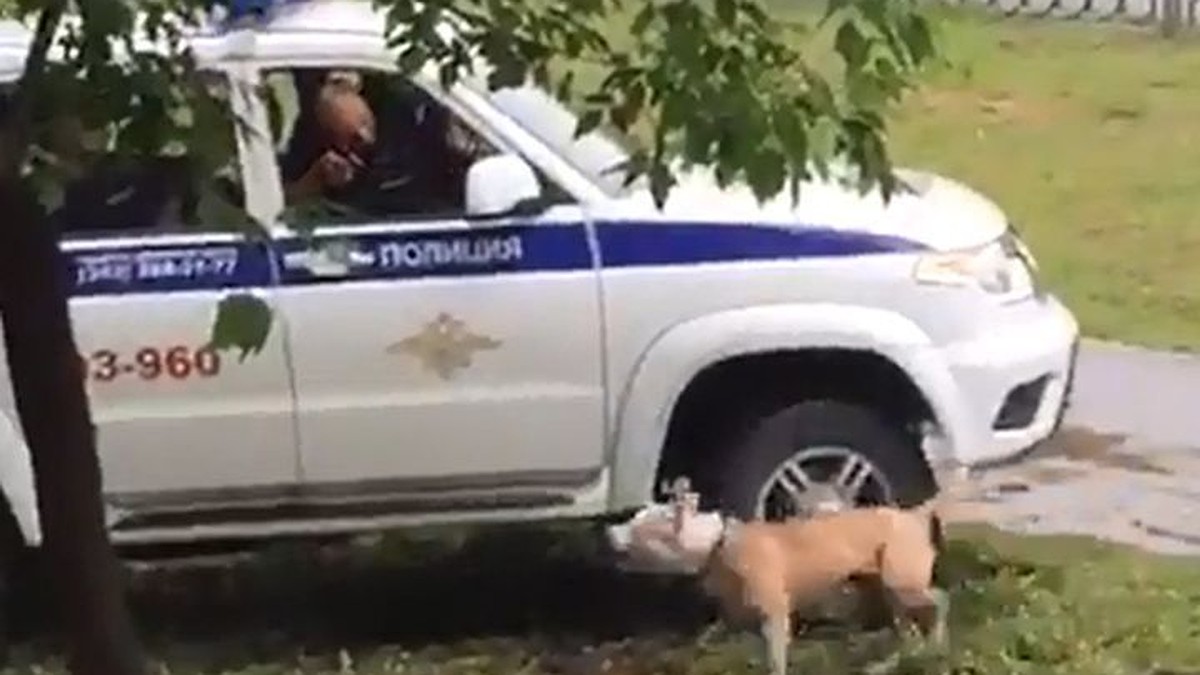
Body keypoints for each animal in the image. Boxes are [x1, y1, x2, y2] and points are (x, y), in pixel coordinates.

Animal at [604, 478, 950, 672]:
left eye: (640, 527)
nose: (608, 530)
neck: (718, 542)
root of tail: (913, 515)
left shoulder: (775, 617)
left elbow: (775, 661)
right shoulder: (740, 620)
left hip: (903, 583)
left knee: (939, 601)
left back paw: (934, 648)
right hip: (885, 587)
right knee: (906, 627)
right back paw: (895, 659)